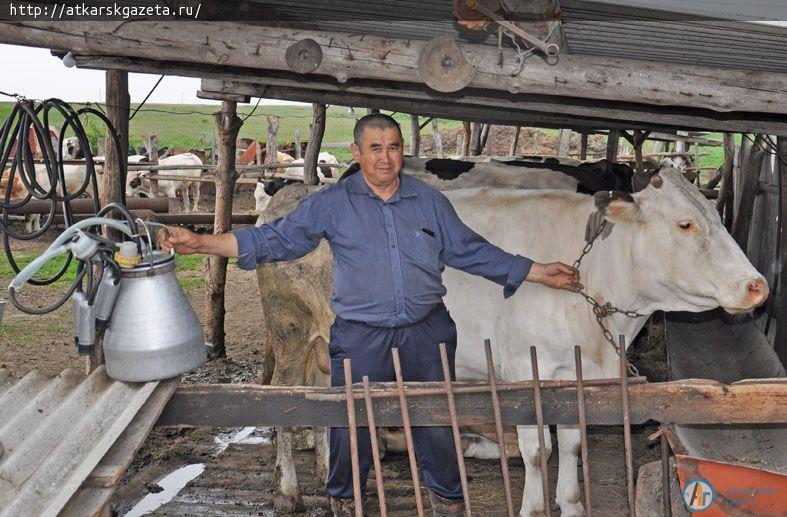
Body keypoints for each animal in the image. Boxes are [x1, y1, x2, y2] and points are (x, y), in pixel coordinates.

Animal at [444, 167, 768, 512]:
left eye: (718, 216)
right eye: (685, 224)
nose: (757, 286)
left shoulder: (576, 376)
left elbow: (571, 444)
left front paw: (571, 505)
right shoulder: (523, 372)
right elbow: (537, 450)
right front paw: (534, 508)